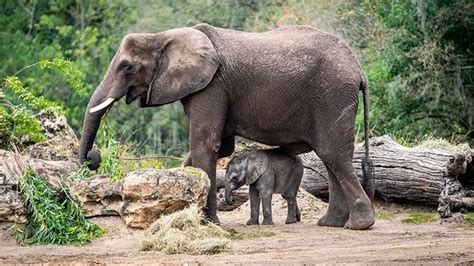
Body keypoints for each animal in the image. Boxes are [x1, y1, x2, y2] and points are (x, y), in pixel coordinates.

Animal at [78, 23, 374, 230]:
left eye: (127, 66)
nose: (93, 158)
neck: (163, 36)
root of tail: (358, 69)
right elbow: (220, 148)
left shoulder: (211, 86)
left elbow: (204, 145)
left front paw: (207, 222)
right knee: (331, 158)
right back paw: (331, 223)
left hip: (331, 96)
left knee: (333, 155)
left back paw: (360, 225)